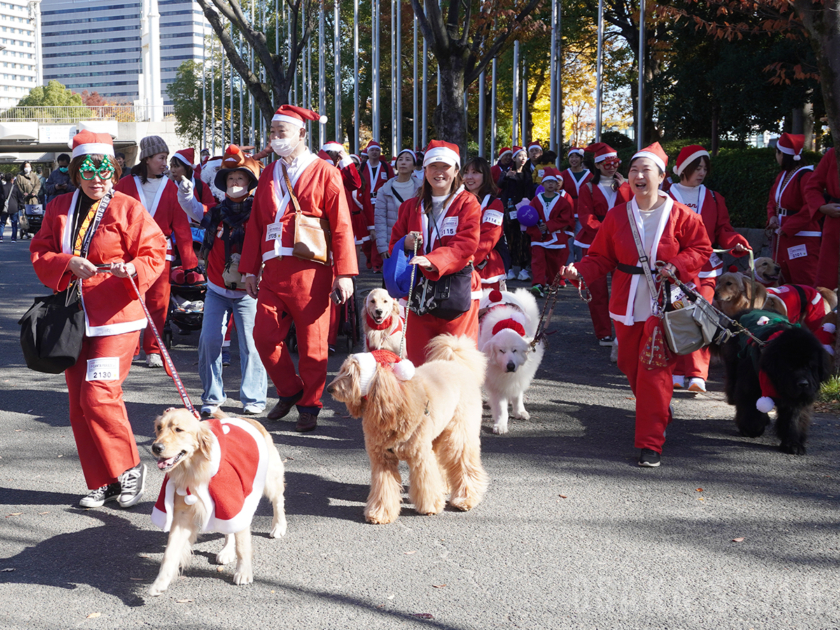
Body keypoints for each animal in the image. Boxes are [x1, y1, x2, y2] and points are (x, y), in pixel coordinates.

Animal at [147, 410, 286, 596]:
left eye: (179, 430)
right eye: (159, 428)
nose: (156, 447)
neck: (194, 470)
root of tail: (246, 419)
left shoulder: (234, 503)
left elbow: (242, 546)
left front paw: (244, 572)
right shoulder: (183, 515)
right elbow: (170, 552)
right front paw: (160, 582)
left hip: (270, 479)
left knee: (278, 501)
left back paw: (279, 526)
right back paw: (227, 550)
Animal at [326, 336, 488, 528]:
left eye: (350, 374)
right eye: (342, 370)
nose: (329, 389)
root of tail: (456, 364)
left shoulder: (420, 456)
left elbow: (425, 481)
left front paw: (430, 506)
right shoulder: (382, 459)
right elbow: (384, 488)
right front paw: (380, 513)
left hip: (459, 434)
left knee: (464, 464)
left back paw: (466, 499)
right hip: (437, 435)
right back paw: (445, 487)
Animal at [480, 290, 544, 434]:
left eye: (515, 350)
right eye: (501, 351)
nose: (510, 366)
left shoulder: (519, 376)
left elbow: (518, 395)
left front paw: (519, 411)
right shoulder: (496, 382)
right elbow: (501, 408)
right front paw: (500, 425)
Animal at [720, 320, 832, 454]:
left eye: (810, 366)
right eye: (790, 367)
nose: (803, 384)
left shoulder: (796, 400)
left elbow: (794, 419)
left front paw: (793, 444)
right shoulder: (750, 386)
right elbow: (750, 407)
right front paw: (752, 428)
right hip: (733, 363)